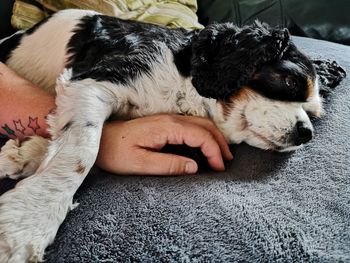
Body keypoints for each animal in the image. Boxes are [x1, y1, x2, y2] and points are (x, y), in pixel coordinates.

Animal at [0, 9, 346, 262]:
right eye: (288, 81)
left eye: (313, 113)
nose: (305, 132)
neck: (183, 79)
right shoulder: (96, 80)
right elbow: (82, 151)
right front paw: (27, 226)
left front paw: (25, 152)